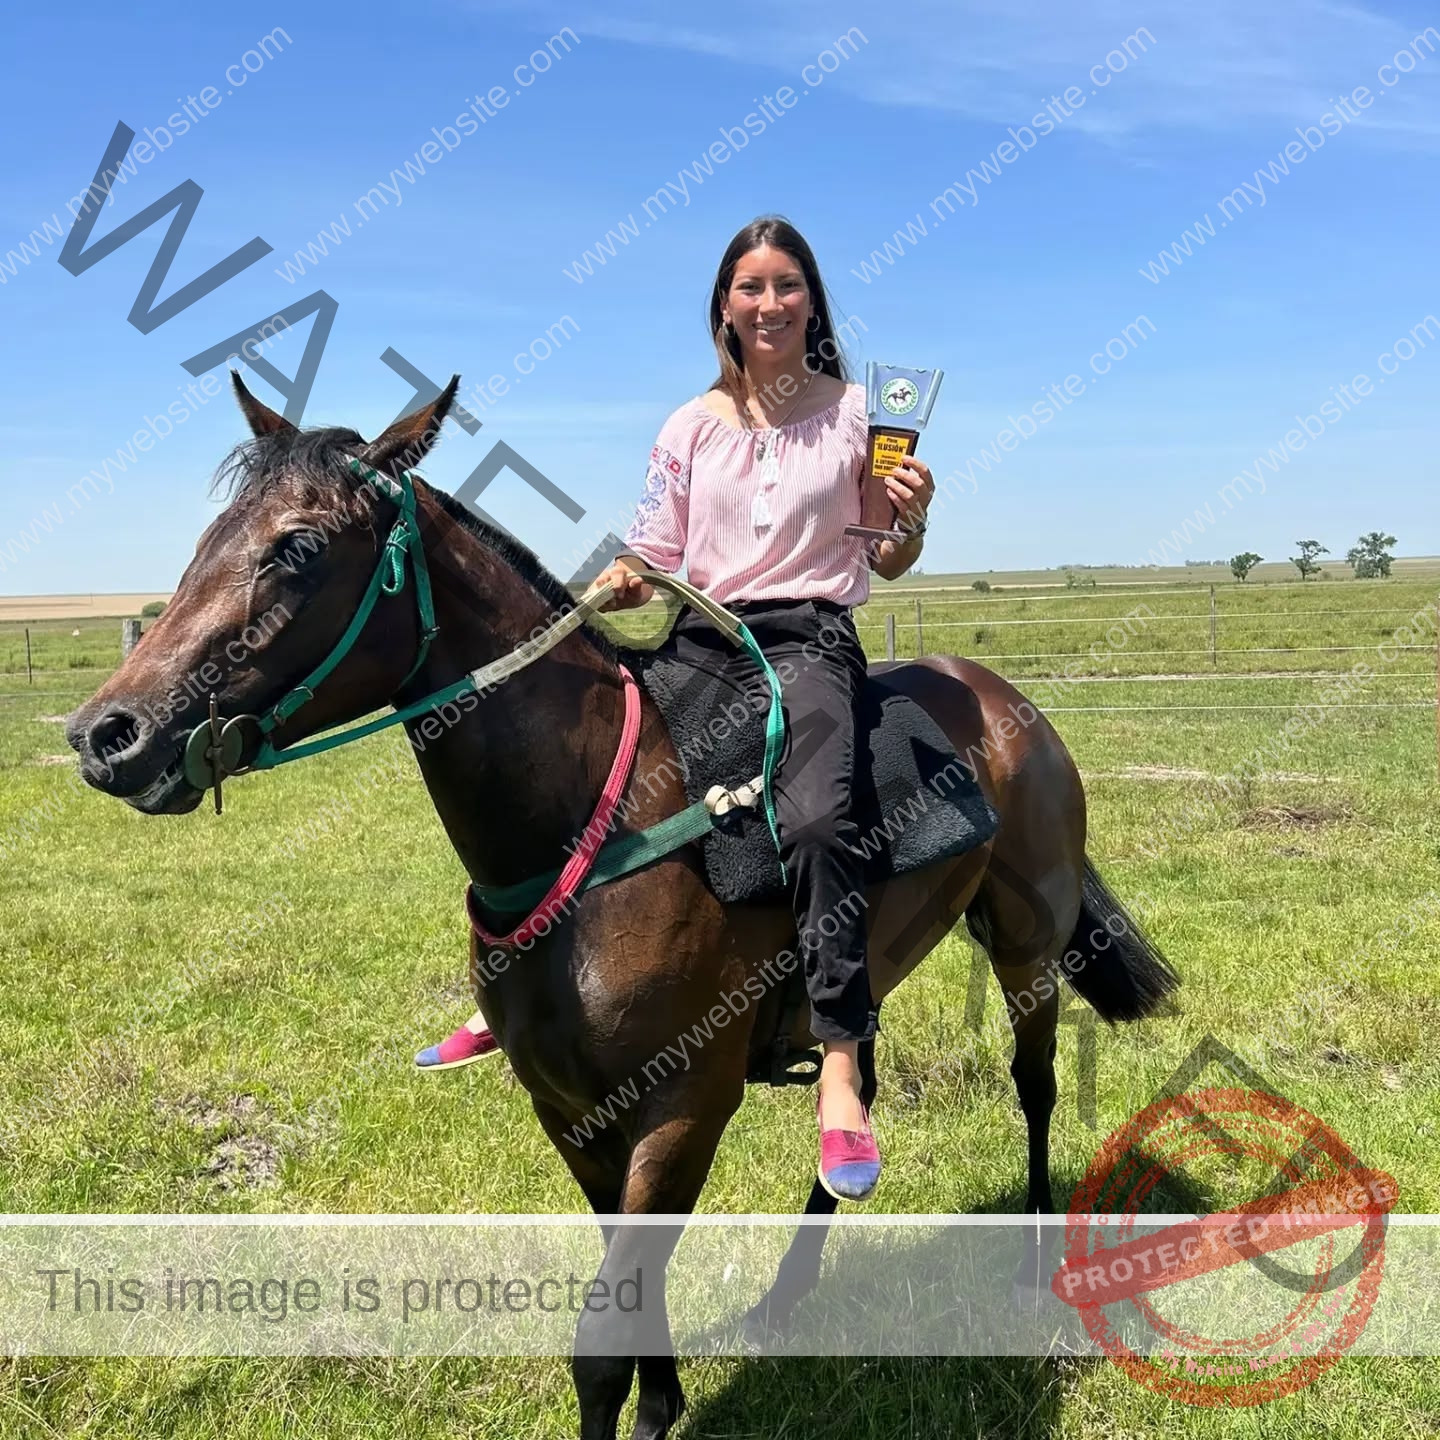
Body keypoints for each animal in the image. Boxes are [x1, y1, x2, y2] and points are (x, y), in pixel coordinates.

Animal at [67, 375, 1179, 1440]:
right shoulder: (571, 1113)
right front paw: (666, 1397)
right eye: (210, 537)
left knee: (1034, 1085)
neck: (593, 824)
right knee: (855, 1084)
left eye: (296, 546)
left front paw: (647, 1403)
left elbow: (598, 1346)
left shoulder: (682, 1109)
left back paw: (1030, 1265)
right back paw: (790, 1290)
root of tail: (1002, 699)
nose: (106, 734)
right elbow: (628, 1279)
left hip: (1026, 948)